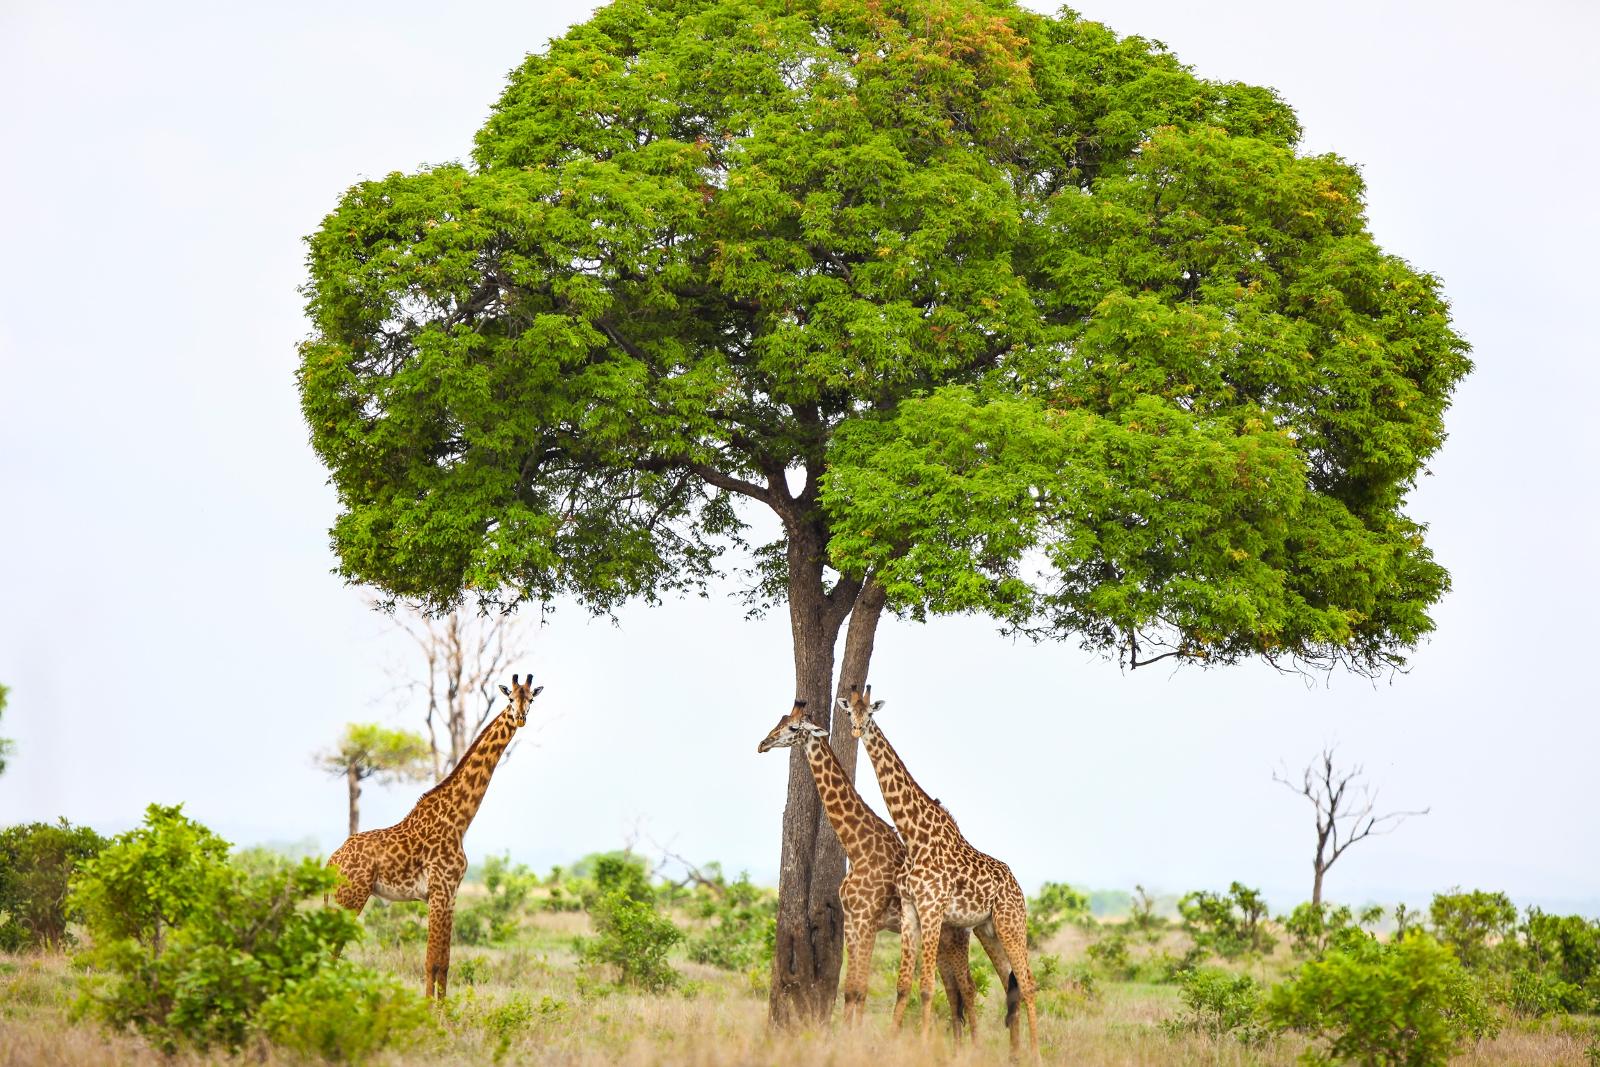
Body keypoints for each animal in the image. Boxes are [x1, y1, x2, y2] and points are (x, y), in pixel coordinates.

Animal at [327, 673, 542, 999]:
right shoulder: (439, 891)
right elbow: (432, 961)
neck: (459, 820)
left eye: (531, 699)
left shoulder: (451, 894)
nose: (520, 718)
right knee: (327, 950)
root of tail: (330, 862)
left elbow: (445, 962)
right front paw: (430, 1008)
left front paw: (444, 1006)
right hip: (350, 897)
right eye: (509, 698)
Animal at [757, 700, 978, 1035]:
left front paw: (853, 1039)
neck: (857, 845)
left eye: (793, 728)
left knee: (967, 987)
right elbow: (854, 990)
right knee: (955, 990)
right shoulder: (852, 919)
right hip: (940, 938)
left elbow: (857, 990)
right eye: (780, 720)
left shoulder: (866, 919)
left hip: (951, 936)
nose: (763, 744)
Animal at [844, 685, 1041, 1060]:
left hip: (1012, 925)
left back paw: (1036, 1055)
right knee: (1010, 984)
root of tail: (1017, 886)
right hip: (989, 930)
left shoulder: (932, 908)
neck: (914, 834)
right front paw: (891, 1042)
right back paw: (1014, 1055)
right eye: (850, 713)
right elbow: (905, 984)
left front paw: (922, 1046)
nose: (857, 731)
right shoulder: (911, 909)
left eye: (871, 714)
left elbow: (927, 986)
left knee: (1027, 984)